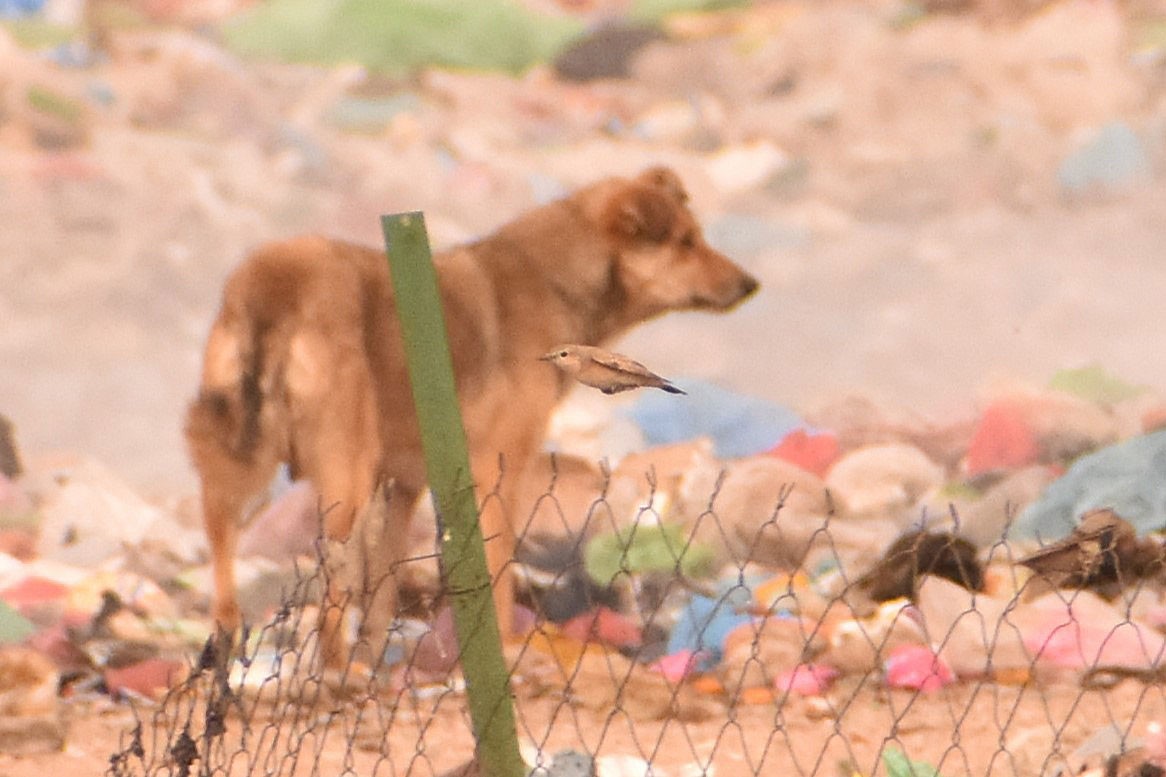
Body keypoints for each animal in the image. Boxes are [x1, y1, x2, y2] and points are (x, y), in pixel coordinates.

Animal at [186, 168, 760, 667]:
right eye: (685, 243)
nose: (750, 284)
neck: (553, 278)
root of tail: (276, 280)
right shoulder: (496, 468)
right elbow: (497, 568)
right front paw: (502, 650)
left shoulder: (403, 483)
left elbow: (382, 587)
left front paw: (375, 662)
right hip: (341, 471)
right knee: (329, 582)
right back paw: (331, 668)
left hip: (233, 462)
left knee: (222, 553)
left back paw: (232, 650)